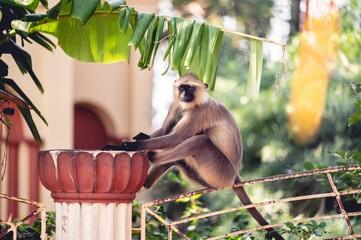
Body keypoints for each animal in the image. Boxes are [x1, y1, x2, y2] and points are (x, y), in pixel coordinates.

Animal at [103, 74, 284, 239]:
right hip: (205, 178)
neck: (193, 103)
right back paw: (148, 179)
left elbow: (176, 138)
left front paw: (130, 146)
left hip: (220, 171)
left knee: (199, 139)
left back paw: (151, 156)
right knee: (179, 152)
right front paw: (130, 141)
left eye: (190, 88)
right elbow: (165, 131)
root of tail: (235, 175)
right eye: (182, 88)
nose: (184, 94)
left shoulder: (199, 112)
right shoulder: (176, 105)